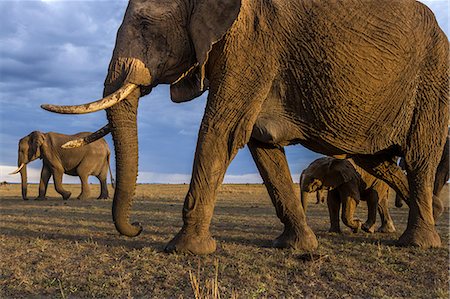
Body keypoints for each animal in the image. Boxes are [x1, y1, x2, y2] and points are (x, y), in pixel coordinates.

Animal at [41, 0, 446, 253]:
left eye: (145, 26)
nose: (137, 226)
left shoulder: (252, 41)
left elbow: (223, 130)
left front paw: (185, 249)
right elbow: (261, 143)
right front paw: (298, 247)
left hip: (433, 77)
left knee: (418, 158)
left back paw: (418, 242)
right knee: (377, 161)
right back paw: (430, 214)